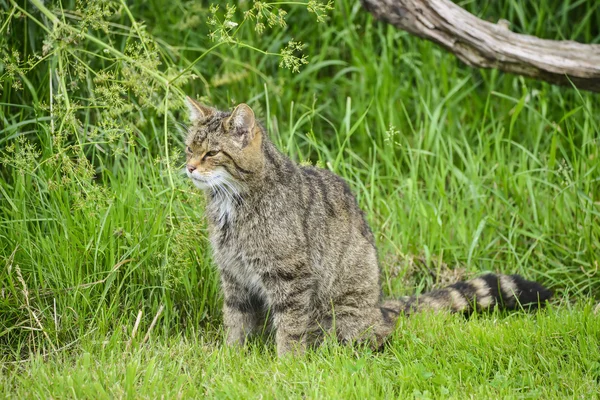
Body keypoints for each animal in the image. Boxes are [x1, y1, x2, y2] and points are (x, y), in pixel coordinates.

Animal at [184, 97, 552, 356]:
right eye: (189, 148)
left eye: (212, 153)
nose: (188, 167)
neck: (231, 204)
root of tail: (379, 308)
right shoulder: (233, 276)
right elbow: (236, 321)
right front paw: (231, 358)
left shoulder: (291, 278)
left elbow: (289, 328)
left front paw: (286, 364)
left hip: (341, 316)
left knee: (371, 338)